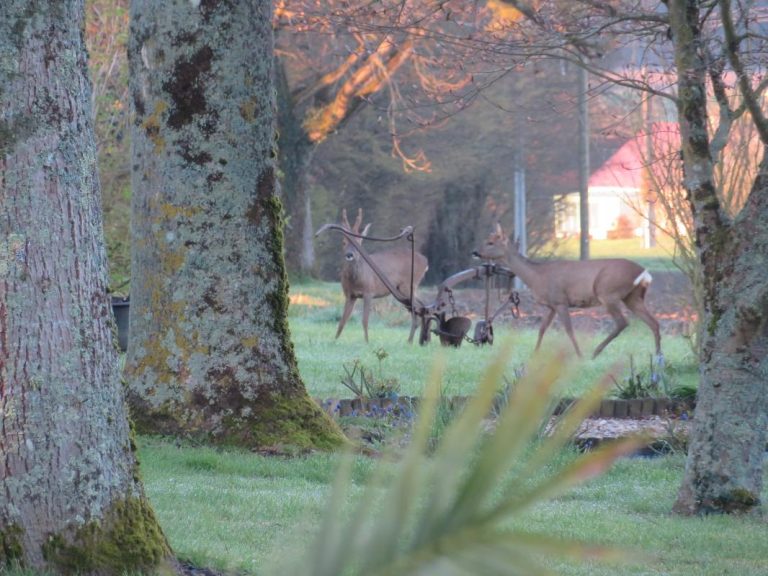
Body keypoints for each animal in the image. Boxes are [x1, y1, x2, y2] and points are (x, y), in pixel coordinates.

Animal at [318, 210, 426, 342]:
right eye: (343, 242)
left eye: (359, 242)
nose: (349, 254)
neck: (356, 280)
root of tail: (425, 261)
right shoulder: (349, 295)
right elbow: (342, 321)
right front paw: (335, 340)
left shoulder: (369, 292)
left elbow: (365, 320)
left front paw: (367, 342)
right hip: (405, 289)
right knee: (420, 306)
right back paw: (415, 339)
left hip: (409, 285)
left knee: (419, 307)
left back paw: (413, 339)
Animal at [474, 223, 660, 358]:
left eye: (490, 242)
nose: (475, 252)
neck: (536, 276)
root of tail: (644, 272)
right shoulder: (551, 305)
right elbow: (542, 328)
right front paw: (535, 353)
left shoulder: (560, 300)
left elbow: (569, 330)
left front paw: (579, 355)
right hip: (632, 297)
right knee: (653, 322)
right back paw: (658, 356)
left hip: (607, 292)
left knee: (623, 322)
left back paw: (595, 352)